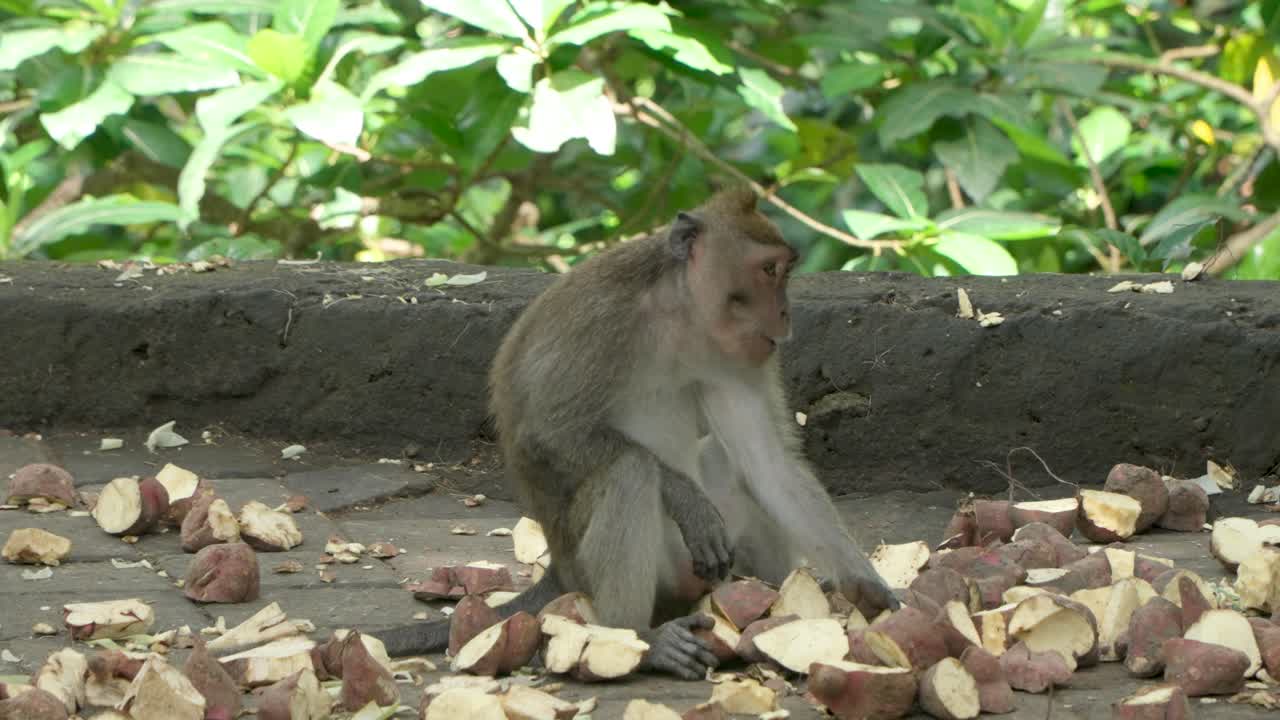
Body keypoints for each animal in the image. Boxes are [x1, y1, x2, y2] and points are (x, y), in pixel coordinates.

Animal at [371, 187, 899, 679]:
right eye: (769, 270)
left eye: (784, 271)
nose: (786, 314)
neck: (680, 315)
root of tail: (558, 568)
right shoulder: (601, 318)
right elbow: (544, 433)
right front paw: (687, 500)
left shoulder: (740, 355)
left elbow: (767, 462)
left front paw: (864, 584)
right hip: (611, 565)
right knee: (630, 470)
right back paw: (640, 639)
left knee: (727, 463)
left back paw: (774, 594)